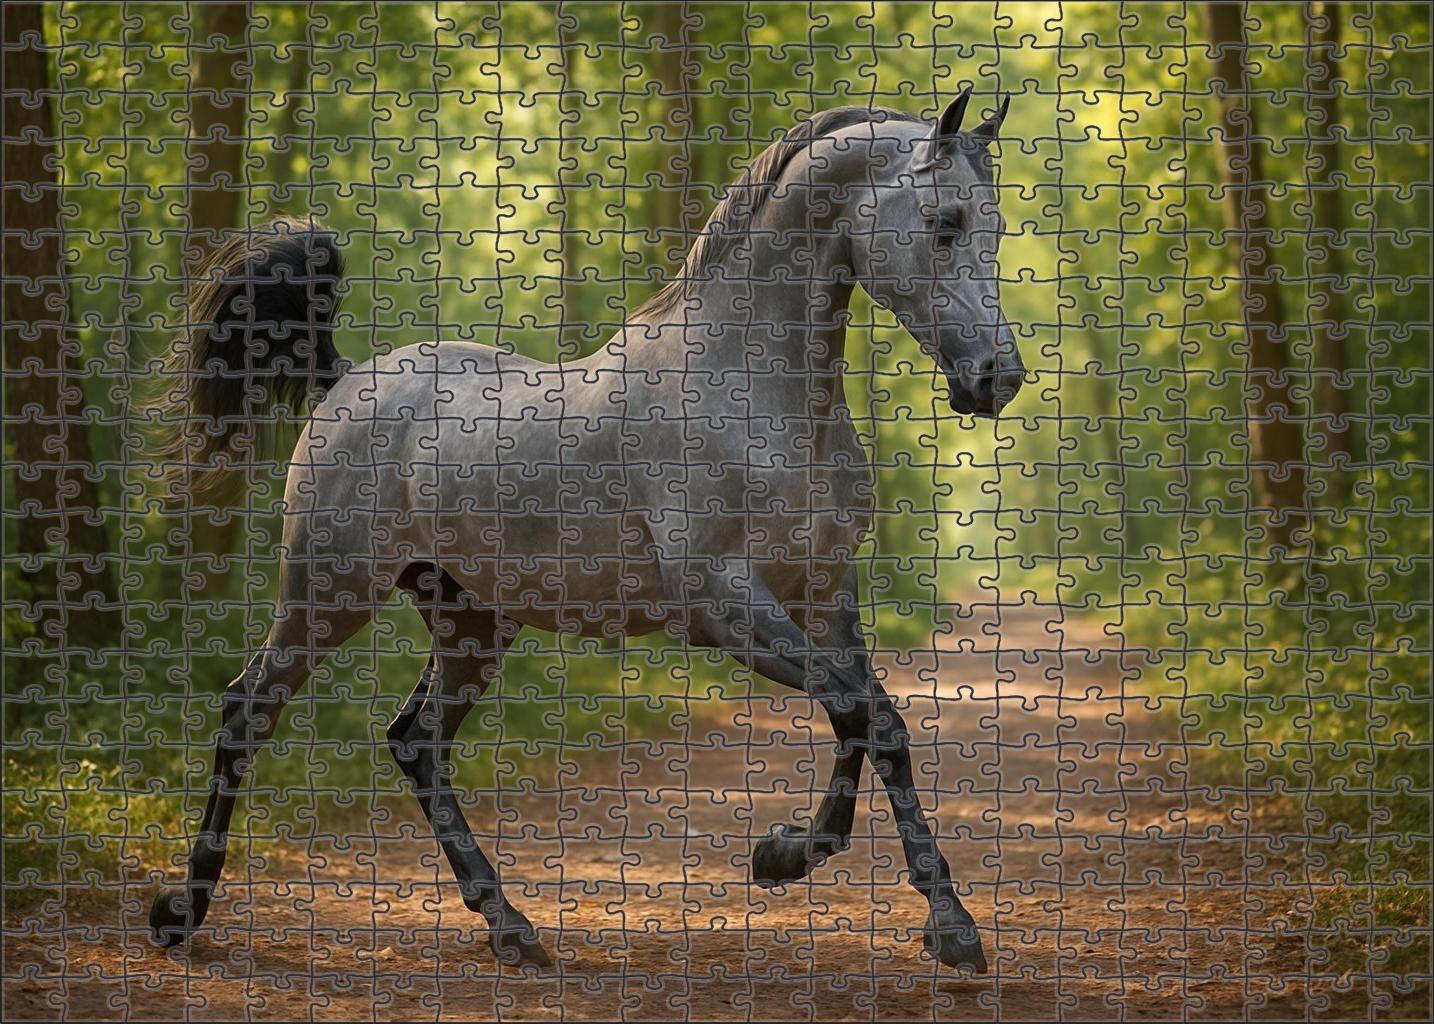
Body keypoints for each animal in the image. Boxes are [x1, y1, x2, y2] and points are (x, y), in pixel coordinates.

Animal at [148, 90, 1024, 974]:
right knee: (248, 711)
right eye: (944, 224)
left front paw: (808, 864)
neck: (749, 392)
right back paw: (181, 912)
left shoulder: (823, 597)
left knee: (415, 742)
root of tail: (344, 382)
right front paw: (903, 905)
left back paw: (510, 925)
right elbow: (865, 715)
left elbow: (867, 722)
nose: (998, 379)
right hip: (327, 595)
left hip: (470, 619)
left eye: (994, 228)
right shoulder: (724, 606)